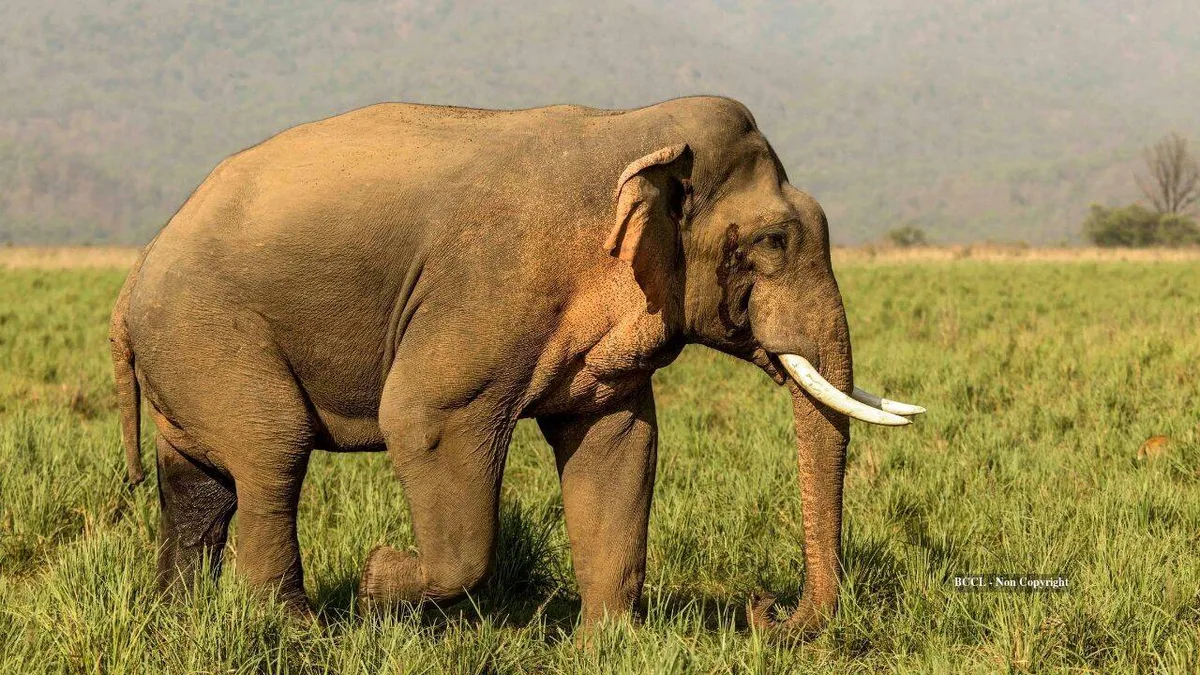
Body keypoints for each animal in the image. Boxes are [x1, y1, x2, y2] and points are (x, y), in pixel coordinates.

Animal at [109, 95, 923, 635]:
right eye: (775, 242)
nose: (767, 609)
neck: (632, 128)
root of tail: (134, 274)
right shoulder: (486, 285)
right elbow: (424, 417)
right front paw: (376, 582)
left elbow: (619, 443)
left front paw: (605, 648)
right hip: (210, 334)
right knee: (272, 454)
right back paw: (296, 631)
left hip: (185, 358)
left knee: (199, 487)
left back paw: (181, 620)